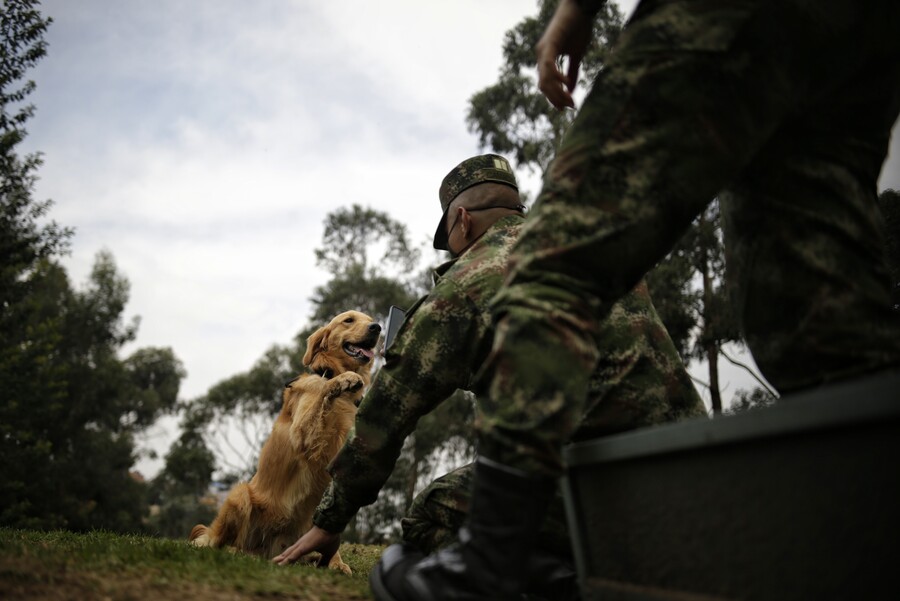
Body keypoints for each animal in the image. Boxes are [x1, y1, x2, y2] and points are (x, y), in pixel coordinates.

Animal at [190, 310, 380, 572]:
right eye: (348, 320)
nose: (377, 327)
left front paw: (337, 563)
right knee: (219, 543)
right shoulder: (303, 434)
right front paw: (342, 381)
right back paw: (234, 550)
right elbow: (322, 393)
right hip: (240, 495)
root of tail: (267, 550)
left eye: (370, 319)